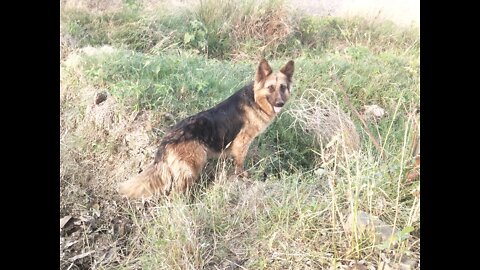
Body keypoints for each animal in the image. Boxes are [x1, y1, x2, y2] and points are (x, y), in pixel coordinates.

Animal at [118, 59, 294, 198]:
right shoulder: (242, 143)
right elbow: (239, 164)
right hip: (194, 165)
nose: (280, 103)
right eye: (270, 88)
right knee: (175, 194)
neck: (255, 100)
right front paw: (243, 176)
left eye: (283, 87)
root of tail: (166, 141)